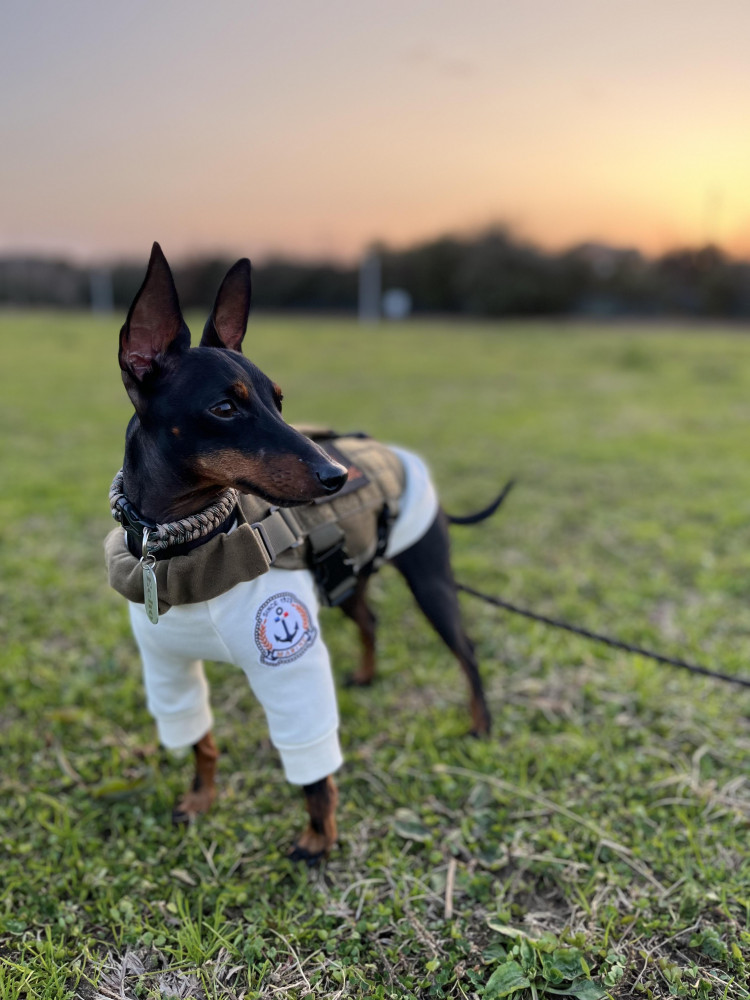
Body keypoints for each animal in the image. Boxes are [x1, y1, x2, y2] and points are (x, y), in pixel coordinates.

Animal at [107, 242, 506, 860]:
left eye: (279, 401)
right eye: (224, 408)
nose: (337, 475)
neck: (185, 545)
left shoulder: (290, 663)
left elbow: (313, 771)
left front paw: (319, 838)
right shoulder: (167, 667)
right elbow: (199, 739)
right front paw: (201, 799)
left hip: (431, 582)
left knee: (467, 652)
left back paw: (480, 725)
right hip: (346, 575)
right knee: (370, 618)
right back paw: (366, 676)